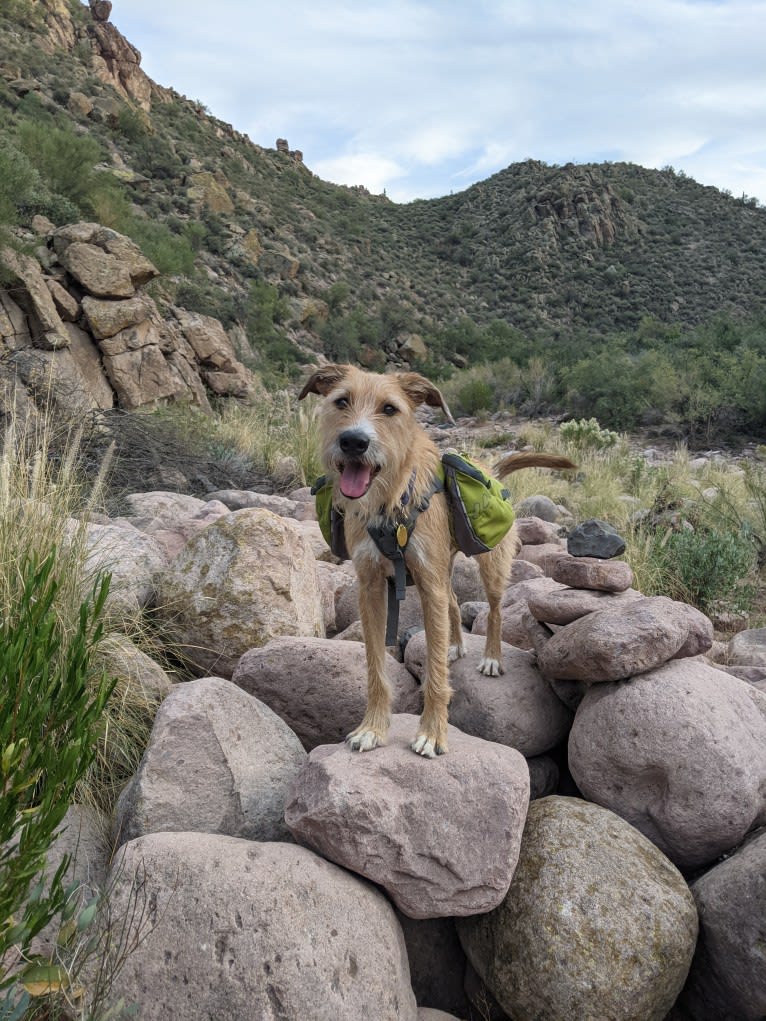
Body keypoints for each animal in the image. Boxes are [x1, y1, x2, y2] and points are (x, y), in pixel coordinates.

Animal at [300, 363, 576, 755]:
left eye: (389, 409)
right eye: (341, 401)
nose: (353, 441)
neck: (390, 501)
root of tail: (489, 470)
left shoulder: (427, 584)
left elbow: (434, 675)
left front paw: (432, 733)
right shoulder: (371, 587)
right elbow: (375, 667)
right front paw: (372, 727)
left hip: (490, 566)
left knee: (493, 610)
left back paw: (491, 657)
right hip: (442, 568)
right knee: (455, 603)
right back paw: (455, 644)